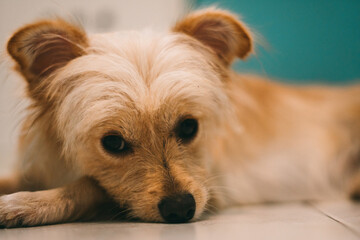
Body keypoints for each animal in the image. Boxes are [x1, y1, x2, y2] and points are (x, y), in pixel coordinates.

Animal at [0, 7, 360, 227]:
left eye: (189, 127)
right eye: (113, 143)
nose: (180, 210)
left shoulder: (211, 187)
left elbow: (89, 186)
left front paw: (26, 205)